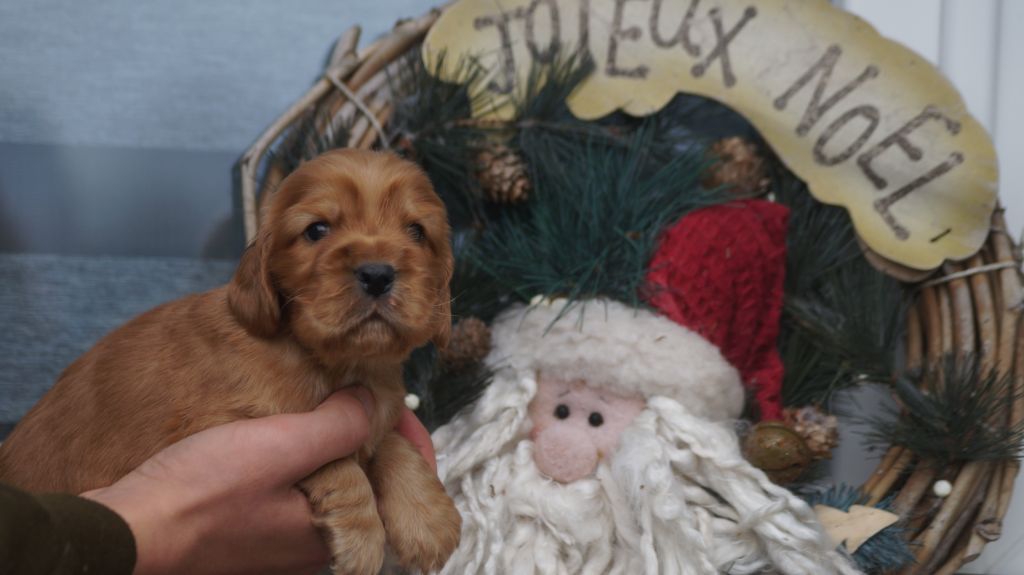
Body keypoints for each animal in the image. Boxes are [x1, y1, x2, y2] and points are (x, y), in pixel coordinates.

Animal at [0, 148, 462, 572]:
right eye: (316, 230)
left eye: (416, 232)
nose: (378, 274)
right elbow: (337, 459)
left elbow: (392, 443)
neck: (339, 362)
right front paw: (362, 537)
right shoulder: (215, 423)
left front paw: (427, 518)